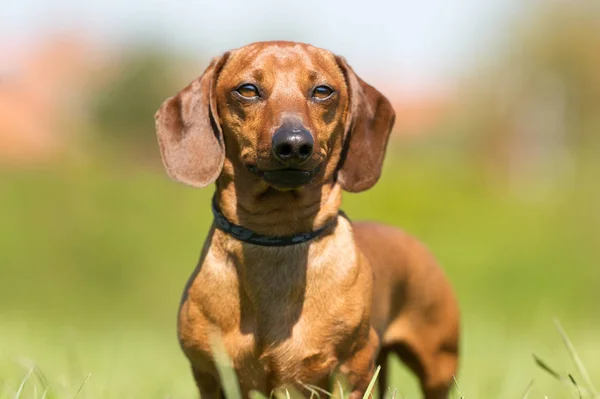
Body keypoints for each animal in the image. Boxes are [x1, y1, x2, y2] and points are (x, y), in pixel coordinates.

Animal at [155, 41, 460, 399]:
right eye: (247, 89)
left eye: (322, 91)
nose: (294, 144)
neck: (277, 235)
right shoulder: (210, 376)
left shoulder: (350, 374)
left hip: (438, 364)